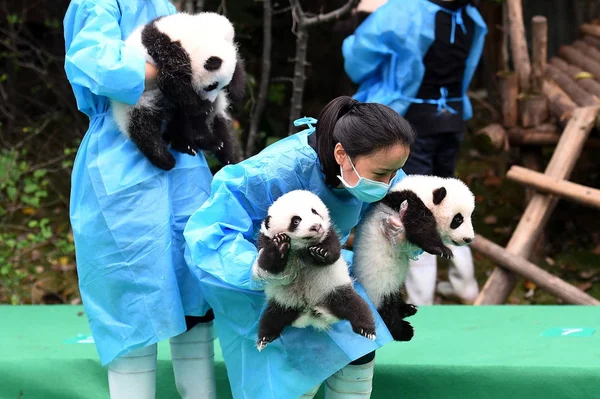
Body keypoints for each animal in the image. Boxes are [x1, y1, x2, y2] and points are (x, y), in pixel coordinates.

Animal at [111, 11, 245, 171]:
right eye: (211, 86)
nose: (209, 100)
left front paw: (237, 90)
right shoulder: (164, 50)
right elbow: (172, 81)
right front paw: (203, 106)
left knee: (206, 123)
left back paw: (219, 151)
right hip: (135, 103)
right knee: (143, 128)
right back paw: (165, 158)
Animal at [252, 192, 376, 352]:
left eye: (315, 212)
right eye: (296, 220)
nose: (316, 226)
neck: (302, 248)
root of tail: (312, 311)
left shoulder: (329, 232)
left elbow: (333, 251)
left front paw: (321, 252)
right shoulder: (264, 241)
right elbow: (269, 266)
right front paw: (281, 244)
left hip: (335, 291)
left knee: (356, 307)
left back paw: (366, 330)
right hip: (282, 302)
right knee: (271, 319)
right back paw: (264, 339)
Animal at [352, 177, 474, 342]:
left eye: (470, 216)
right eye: (458, 219)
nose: (468, 239)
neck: (424, 190)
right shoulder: (409, 203)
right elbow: (420, 228)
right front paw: (442, 250)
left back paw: (408, 308)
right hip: (376, 283)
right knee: (385, 310)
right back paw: (403, 331)